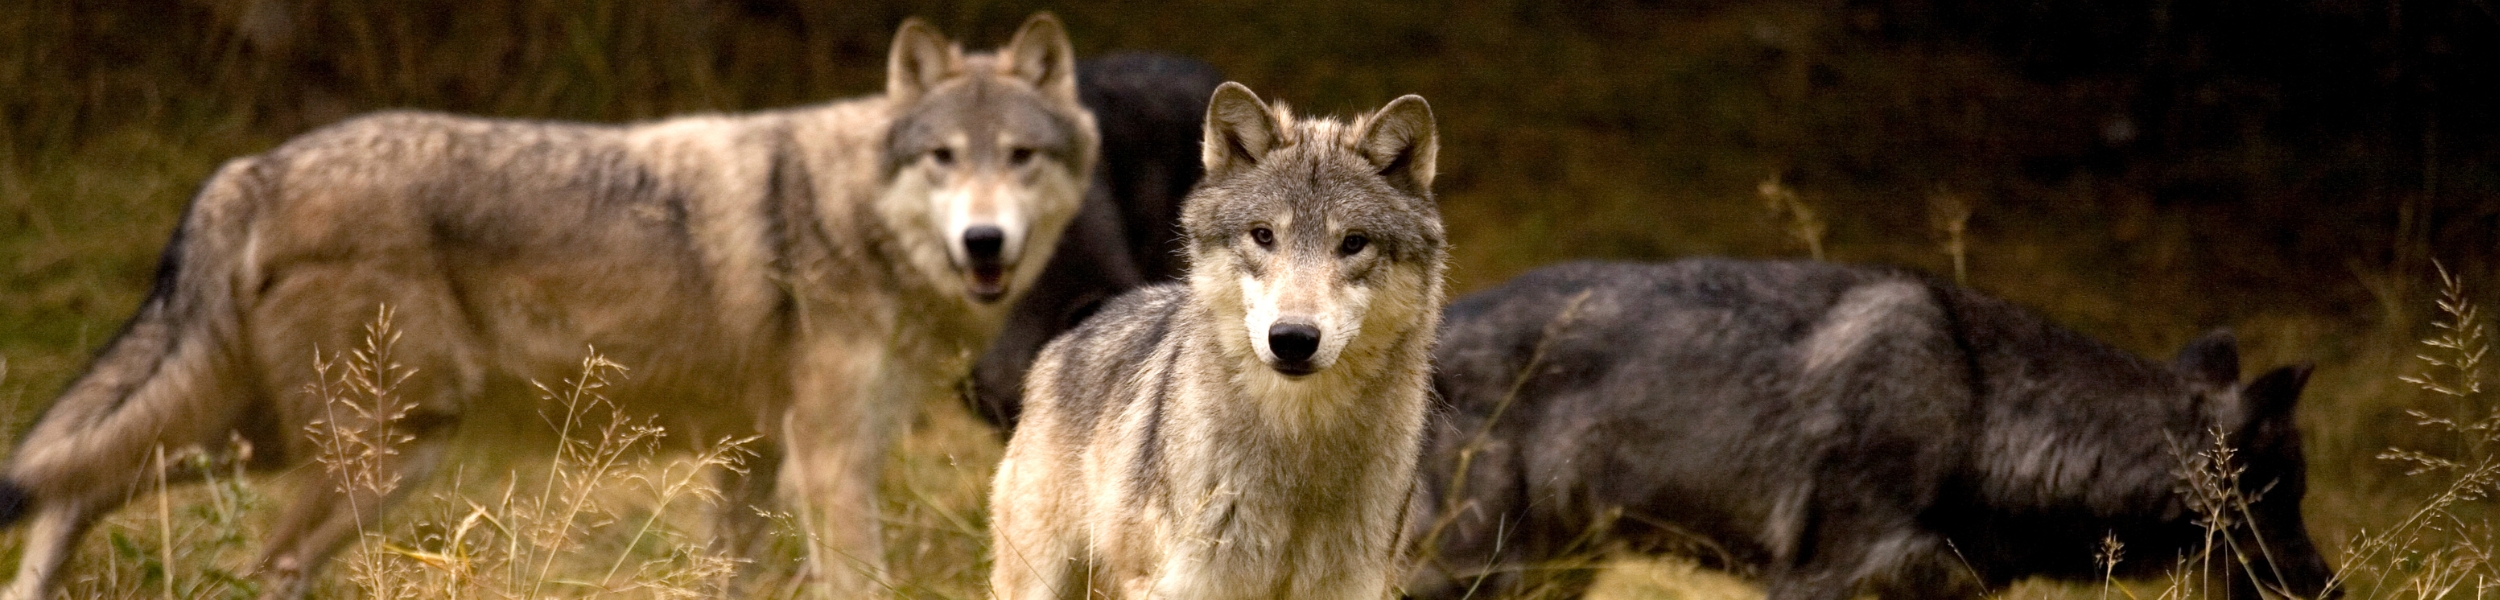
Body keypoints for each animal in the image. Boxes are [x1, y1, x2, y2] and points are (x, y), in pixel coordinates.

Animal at [0, 14, 1095, 600]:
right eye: (943, 158)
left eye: (1019, 157)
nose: (984, 243)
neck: (846, 210)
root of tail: (254, 168)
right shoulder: (828, 460)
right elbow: (858, 578)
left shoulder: (749, 457)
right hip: (375, 451)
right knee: (249, 553)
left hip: (268, 437)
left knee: (79, 484)